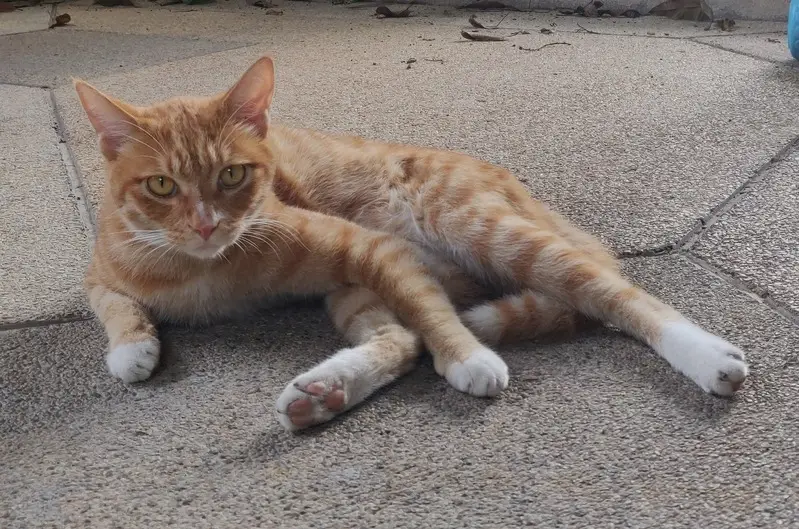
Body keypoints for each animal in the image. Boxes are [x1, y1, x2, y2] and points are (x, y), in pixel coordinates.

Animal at [74, 56, 748, 432]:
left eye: (233, 175)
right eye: (162, 185)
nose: (207, 224)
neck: (206, 273)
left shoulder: (370, 247)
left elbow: (434, 321)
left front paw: (469, 358)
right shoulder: (101, 273)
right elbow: (113, 304)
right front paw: (132, 348)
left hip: (481, 229)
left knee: (615, 291)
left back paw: (707, 355)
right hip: (358, 288)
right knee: (401, 338)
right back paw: (325, 394)